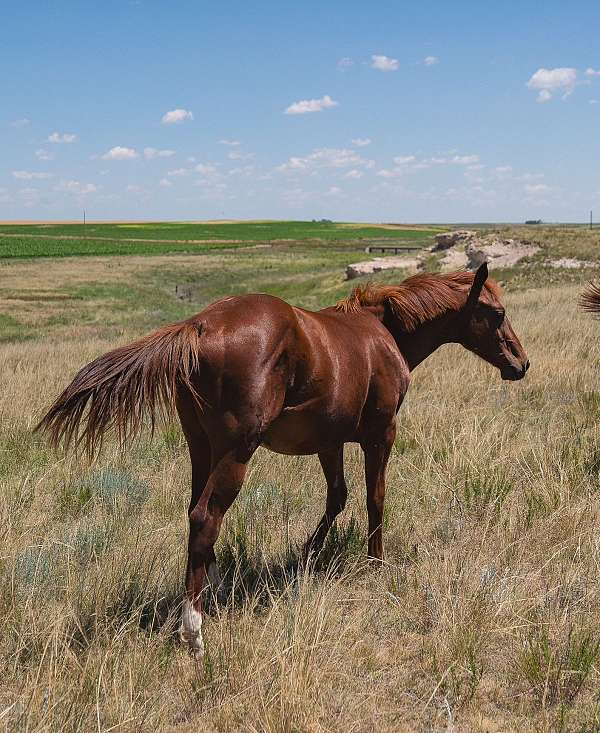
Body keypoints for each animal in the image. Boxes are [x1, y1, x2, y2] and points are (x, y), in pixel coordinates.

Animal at [37, 264, 528, 652]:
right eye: (498, 314)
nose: (521, 364)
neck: (382, 335)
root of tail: (199, 325)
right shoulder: (381, 435)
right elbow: (375, 498)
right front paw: (375, 564)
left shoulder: (330, 442)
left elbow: (337, 498)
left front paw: (308, 556)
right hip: (235, 452)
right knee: (206, 517)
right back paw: (193, 628)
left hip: (201, 449)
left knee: (195, 514)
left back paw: (211, 588)